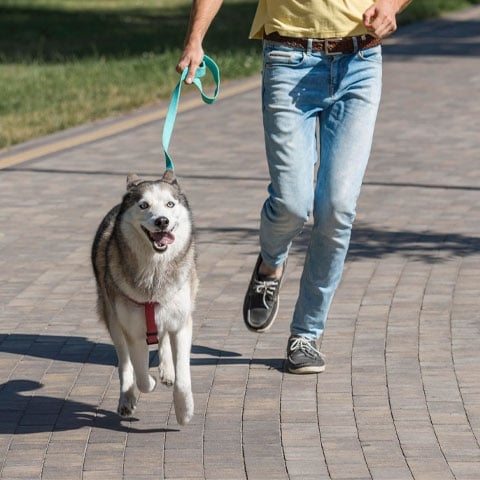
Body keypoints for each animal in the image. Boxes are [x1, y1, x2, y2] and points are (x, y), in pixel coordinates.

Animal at [92, 171, 197, 426]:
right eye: (144, 205)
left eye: (170, 204)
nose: (162, 221)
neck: (155, 270)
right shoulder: (133, 330)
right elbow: (140, 373)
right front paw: (148, 383)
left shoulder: (181, 323)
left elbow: (183, 374)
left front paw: (184, 411)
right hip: (113, 319)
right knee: (125, 362)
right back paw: (127, 397)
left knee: (164, 338)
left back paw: (167, 370)